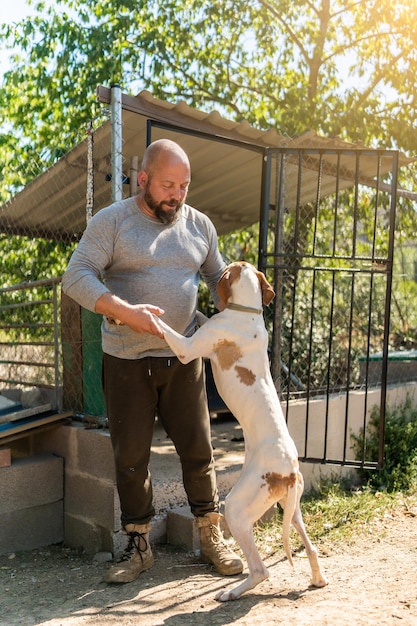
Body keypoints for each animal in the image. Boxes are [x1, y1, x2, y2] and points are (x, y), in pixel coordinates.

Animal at [158, 260, 326, 600]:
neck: (248, 311)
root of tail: (289, 470)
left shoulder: (186, 347)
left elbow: (165, 325)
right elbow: (201, 317)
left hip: (236, 509)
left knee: (260, 570)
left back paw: (233, 592)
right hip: (292, 508)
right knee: (311, 548)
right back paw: (317, 579)